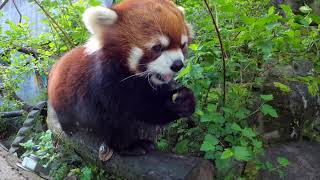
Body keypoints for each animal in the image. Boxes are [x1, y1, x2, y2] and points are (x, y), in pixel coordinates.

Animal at [47, 0, 195, 155]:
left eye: (183, 45)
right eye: (157, 47)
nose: (178, 64)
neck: (133, 78)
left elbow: (150, 108)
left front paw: (182, 102)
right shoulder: (101, 87)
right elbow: (112, 122)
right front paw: (130, 146)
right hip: (61, 95)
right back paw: (69, 126)